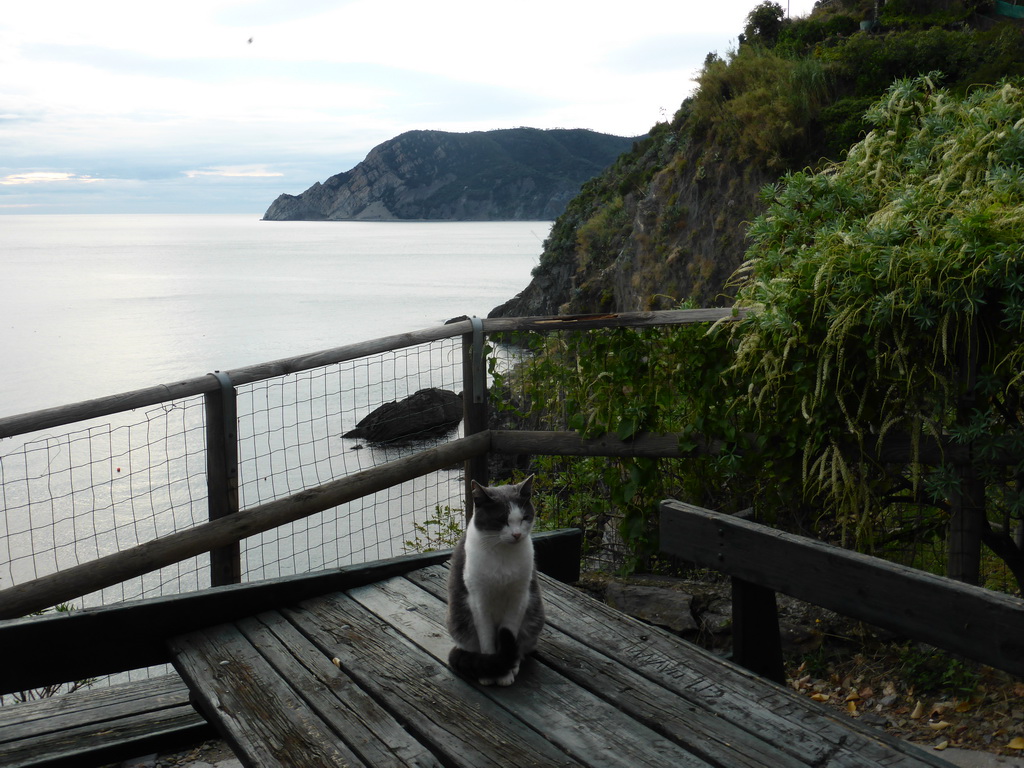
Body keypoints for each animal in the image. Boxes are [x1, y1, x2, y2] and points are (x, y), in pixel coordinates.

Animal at [446, 479, 544, 688]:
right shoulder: (478, 600)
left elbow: (509, 631)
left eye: (524, 518)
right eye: (501, 520)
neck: (503, 553)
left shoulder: (519, 596)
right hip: (459, 620)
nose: (516, 534)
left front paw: (507, 669)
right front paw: (492, 671)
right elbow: (487, 638)